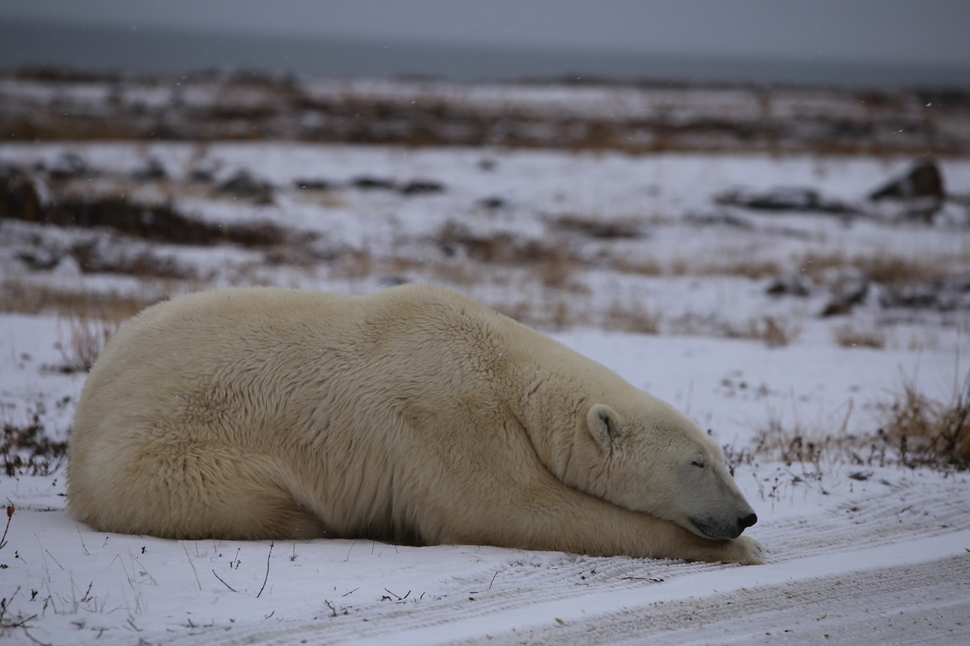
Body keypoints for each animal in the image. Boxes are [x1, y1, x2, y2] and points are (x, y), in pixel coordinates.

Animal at [70, 286, 764, 564]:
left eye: (725, 458)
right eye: (696, 462)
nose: (745, 516)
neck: (504, 367)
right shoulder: (447, 415)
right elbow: (514, 508)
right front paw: (740, 552)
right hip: (171, 457)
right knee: (263, 502)